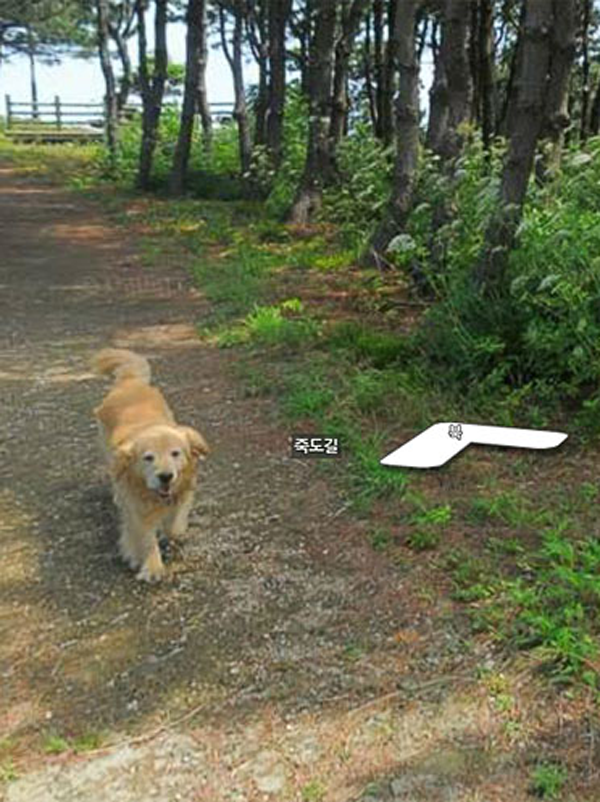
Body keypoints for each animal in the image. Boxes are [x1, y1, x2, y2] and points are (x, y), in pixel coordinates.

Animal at [91, 346, 209, 580]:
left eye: (175, 453)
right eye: (148, 457)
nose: (166, 476)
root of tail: (130, 382)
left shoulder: (183, 493)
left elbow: (174, 526)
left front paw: (170, 532)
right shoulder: (137, 509)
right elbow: (145, 538)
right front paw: (152, 567)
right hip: (107, 452)